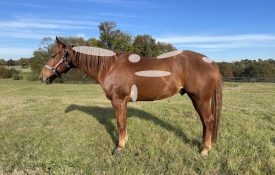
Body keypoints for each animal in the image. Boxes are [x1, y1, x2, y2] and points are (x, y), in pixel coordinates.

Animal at [40, 37, 223, 156]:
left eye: (54, 55)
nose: (42, 77)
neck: (110, 66)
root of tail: (211, 62)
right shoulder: (123, 102)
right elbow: (123, 122)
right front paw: (124, 141)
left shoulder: (118, 100)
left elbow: (120, 123)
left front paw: (119, 148)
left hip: (200, 99)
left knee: (208, 121)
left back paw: (204, 150)